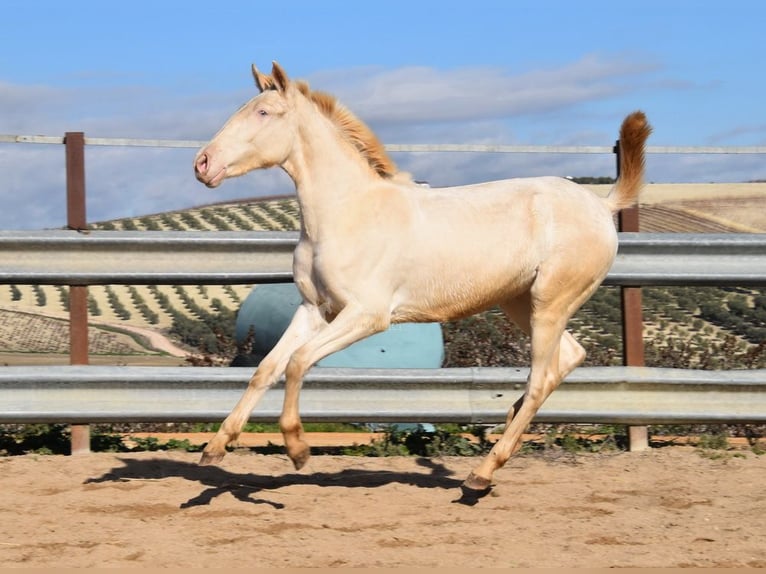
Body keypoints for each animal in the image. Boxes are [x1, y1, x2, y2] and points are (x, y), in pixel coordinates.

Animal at [195, 60, 652, 498]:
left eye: (263, 112)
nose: (202, 163)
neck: (346, 212)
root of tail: (601, 205)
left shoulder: (366, 315)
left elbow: (297, 362)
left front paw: (297, 448)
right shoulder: (314, 310)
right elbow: (266, 368)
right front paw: (215, 448)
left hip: (550, 303)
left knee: (542, 378)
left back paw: (481, 474)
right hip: (522, 302)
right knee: (568, 358)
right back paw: (504, 430)